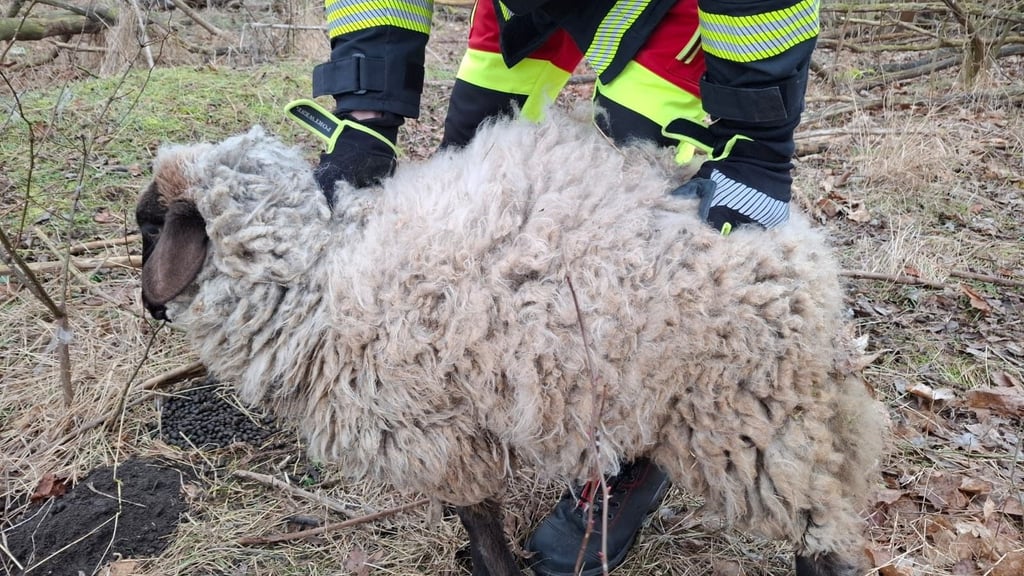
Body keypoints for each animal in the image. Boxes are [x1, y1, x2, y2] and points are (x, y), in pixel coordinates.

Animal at [136, 108, 886, 576]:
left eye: (149, 224)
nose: (148, 305)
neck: (317, 276)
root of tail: (803, 258)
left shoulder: (437, 432)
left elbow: (479, 516)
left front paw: (492, 565)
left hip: (749, 419)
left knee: (823, 526)